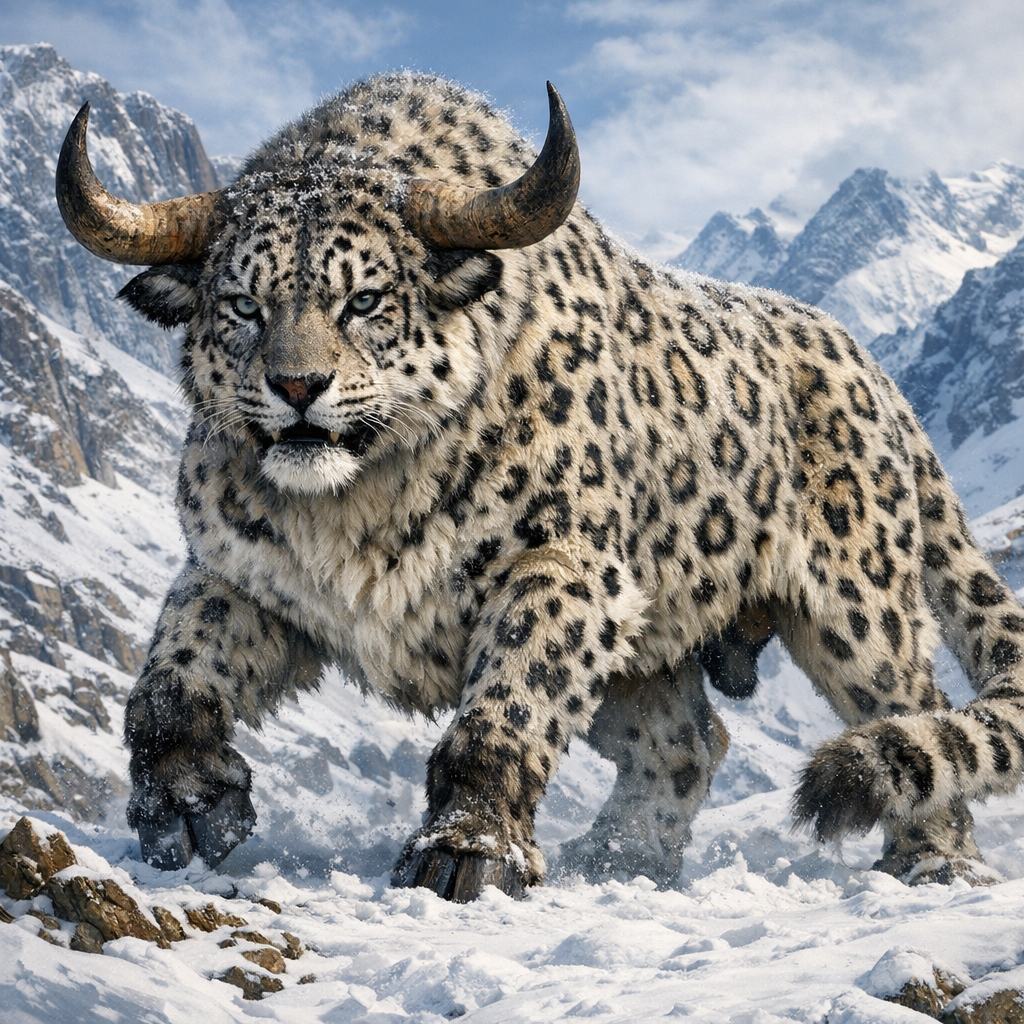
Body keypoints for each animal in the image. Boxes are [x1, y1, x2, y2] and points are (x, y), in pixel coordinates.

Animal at [56, 71, 1024, 901]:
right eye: (242, 304)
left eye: (365, 299)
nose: (297, 387)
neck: (353, 510)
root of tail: (877, 374)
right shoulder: (241, 573)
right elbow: (168, 680)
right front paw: (190, 807)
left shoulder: (563, 568)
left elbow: (506, 710)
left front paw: (464, 852)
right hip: (650, 651)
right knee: (689, 740)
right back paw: (618, 859)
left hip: (856, 609)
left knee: (913, 703)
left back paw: (932, 862)